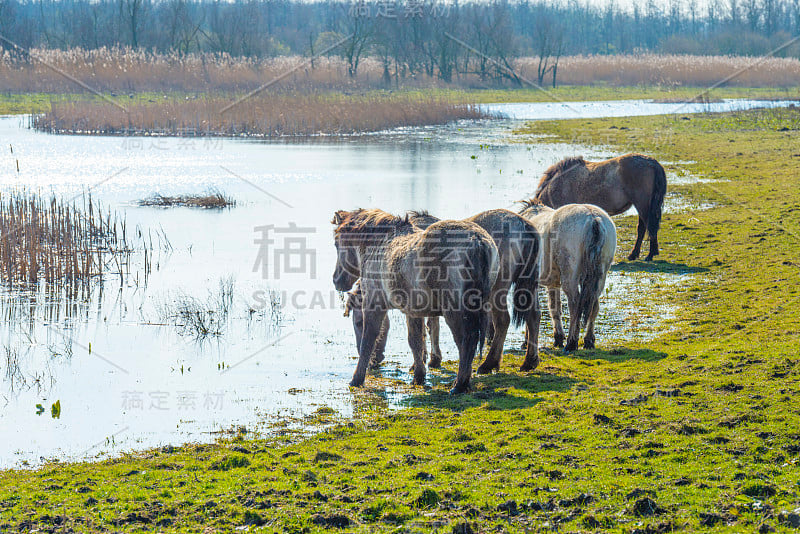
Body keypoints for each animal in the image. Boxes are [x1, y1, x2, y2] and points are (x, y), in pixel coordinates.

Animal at [332, 209, 496, 394]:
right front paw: (418, 376)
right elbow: (416, 341)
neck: (379, 245)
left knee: (466, 341)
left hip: (454, 311)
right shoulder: (413, 310)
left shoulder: (374, 304)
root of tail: (477, 241)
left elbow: (369, 340)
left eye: (337, 244)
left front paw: (357, 379)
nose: (336, 280)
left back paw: (459, 385)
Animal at [346, 209, 540, 376]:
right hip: (527, 285)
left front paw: (423, 361)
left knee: (503, 321)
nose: (374, 360)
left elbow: (426, 329)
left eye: (358, 322)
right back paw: (528, 361)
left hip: (497, 290)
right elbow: (431, 326)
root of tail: (525, 224)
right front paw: (430, 359)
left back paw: (488, 364)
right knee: (533, 316)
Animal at [520, 200, 620, 352]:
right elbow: (555, 307)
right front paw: (558, 338)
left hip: (570, 277)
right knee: (594, 305)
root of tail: (593, 218)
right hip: (600, 277)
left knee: (575, 304)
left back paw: (571, 343)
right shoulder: (552, 283)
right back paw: (588, 341)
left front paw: (527, 341)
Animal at [536, 154, 668, 262]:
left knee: (650, 226)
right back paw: (635, 254)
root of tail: (653, 163)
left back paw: (650, 254)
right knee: (642, 228)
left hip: (642, 205)